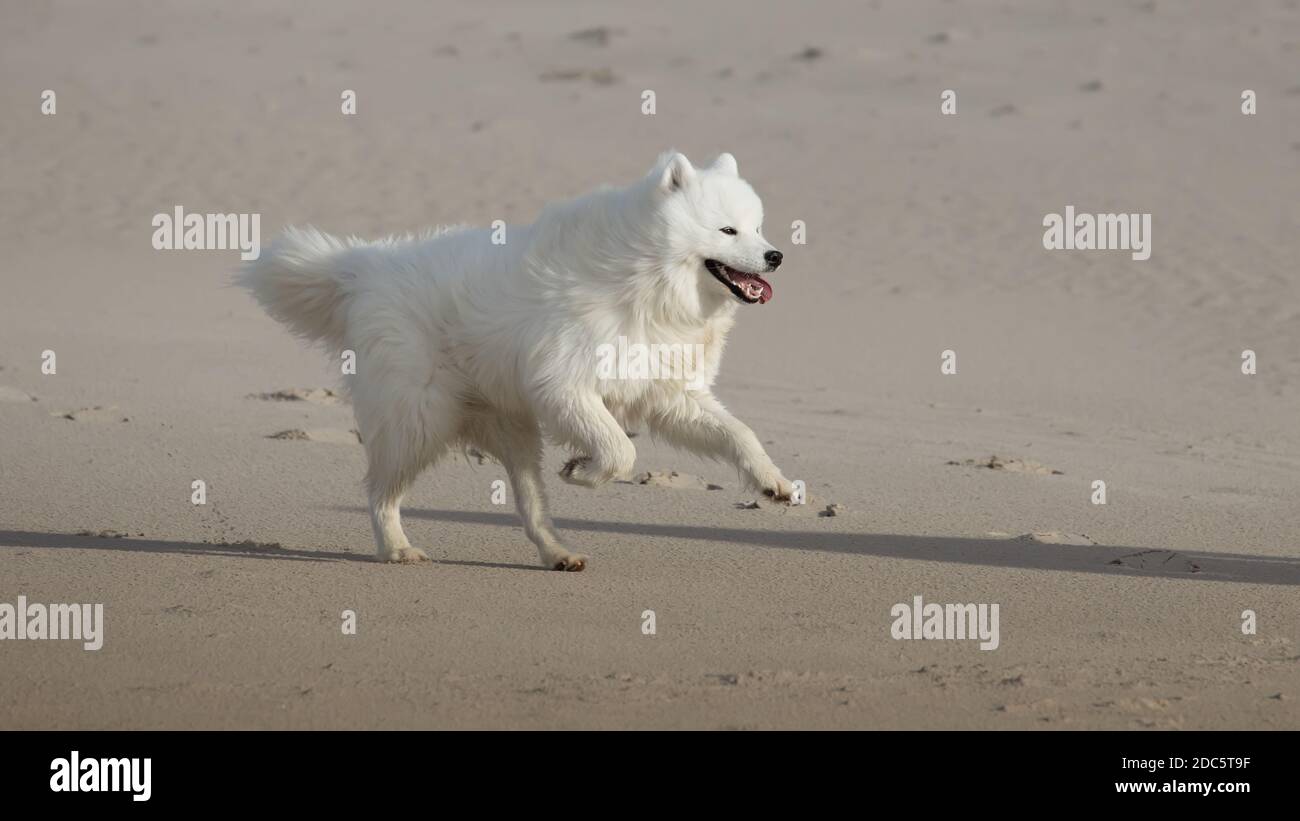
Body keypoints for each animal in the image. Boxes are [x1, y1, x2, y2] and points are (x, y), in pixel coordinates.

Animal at [243, 150, 790, 566]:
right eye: (727, 231)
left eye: (758, 228)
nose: (776, 256)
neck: (646, 278)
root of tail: (363, 268)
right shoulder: (563, 385)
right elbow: (620, 451)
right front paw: (584, 472)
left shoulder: (670, 396)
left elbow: (739, 434)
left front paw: (774, 484)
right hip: (418, 421)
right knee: (380, 492)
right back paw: (397, 549)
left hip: (512, 433)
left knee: (530, 508)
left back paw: (558, 555)